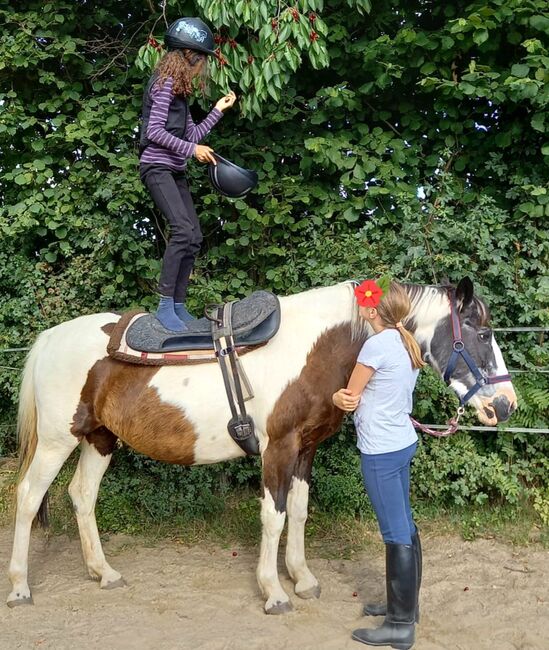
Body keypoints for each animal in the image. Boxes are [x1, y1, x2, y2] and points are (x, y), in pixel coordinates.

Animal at [6, 276, 516, 612]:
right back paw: (19, 587)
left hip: (99, 439)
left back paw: (103, 573)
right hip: (56, 440)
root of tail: (50, 337)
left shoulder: (306, 450)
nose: (506, 405)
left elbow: (300, 512)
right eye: (484, 333)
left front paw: (303, 579)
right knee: (28, 498)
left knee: (81, 496)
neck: (315, 348)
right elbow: (274, 516)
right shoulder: (278, 449)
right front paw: (273, 591)